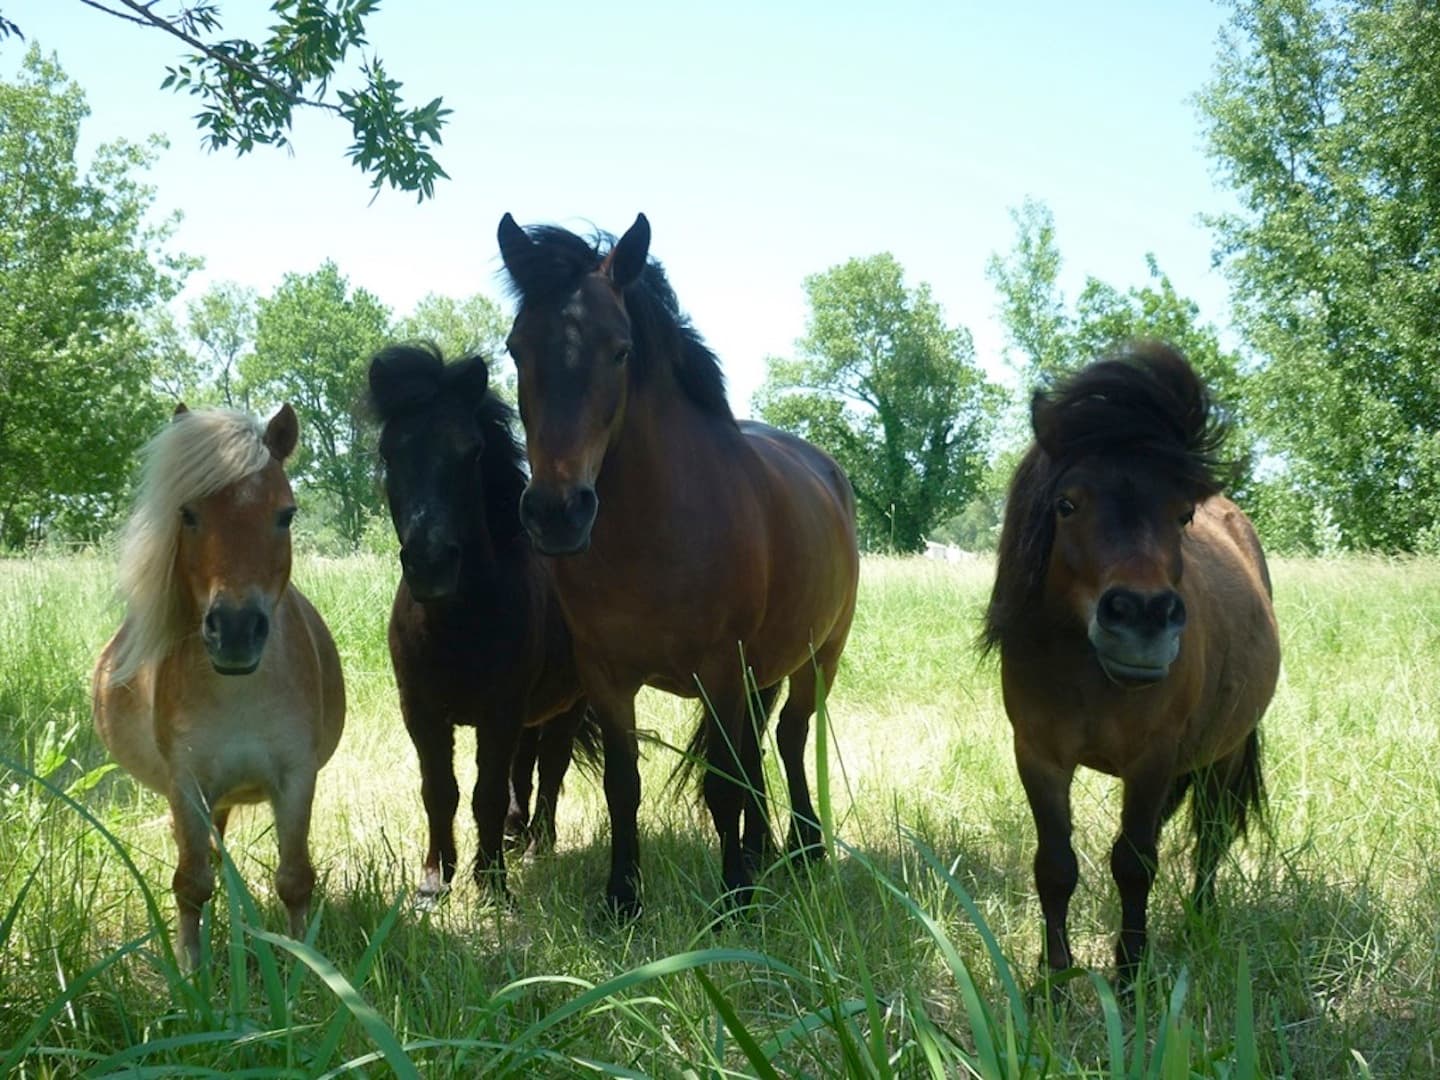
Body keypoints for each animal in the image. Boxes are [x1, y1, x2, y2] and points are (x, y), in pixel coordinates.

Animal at [92, 404, 345, 971]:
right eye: (188, 513)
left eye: (285, 514)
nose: (235, 629)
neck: (240, 693)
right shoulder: (187, 784)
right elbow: (191, 883)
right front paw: (191, 970)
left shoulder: (296, 777)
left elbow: (295, 878)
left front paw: (304, 967)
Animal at [368, 343, 594, 901]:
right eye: (389, 453)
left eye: (470, 452)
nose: (431, 564)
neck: (456, 627)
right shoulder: (421, 712)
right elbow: (439, 790)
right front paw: (434, 881)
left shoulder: (500, 711)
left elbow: (485, 792)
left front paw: (491, 883)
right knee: (526, 769)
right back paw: (516, 834)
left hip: (569, 703)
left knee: (550, 767)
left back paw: (537, 845)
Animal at [497, 212, 860, 915]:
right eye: (516, 349)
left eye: (620, 350)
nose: (556, 512)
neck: (654, 535)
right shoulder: (606, 676)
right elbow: (623, 785)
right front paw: (622, 898)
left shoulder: (719, 669)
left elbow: (723, 784)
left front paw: (735, 902)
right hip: (760, 672)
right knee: (756, 749)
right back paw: (765, 850)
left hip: (817, 657)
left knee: (790, 738)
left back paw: (803, 850)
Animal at [982, 342, 1280, 985]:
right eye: (1066, 504)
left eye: (1183, 515)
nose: (1142, 617)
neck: (1087, 674)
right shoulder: (1038, 755)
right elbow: (1055, 865)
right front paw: (1054, 979)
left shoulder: (1153, 759)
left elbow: (1135, 863)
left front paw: (1130, 976)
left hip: (1221, 757)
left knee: (1209, 836)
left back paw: (1199, 921)